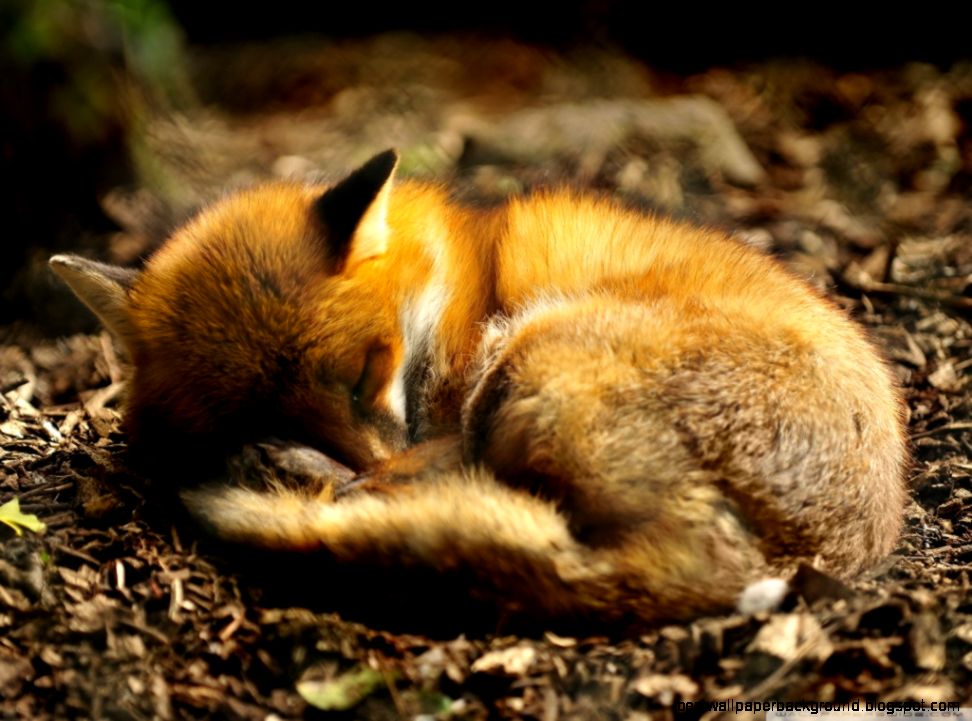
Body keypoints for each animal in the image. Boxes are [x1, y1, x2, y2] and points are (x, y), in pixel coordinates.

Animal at [50, 149, 908, 630]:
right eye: (248, 407)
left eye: (365, 372)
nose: (356, 458)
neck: (456, 282)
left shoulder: (450, 397)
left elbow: (422, 458)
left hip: (531, 355)